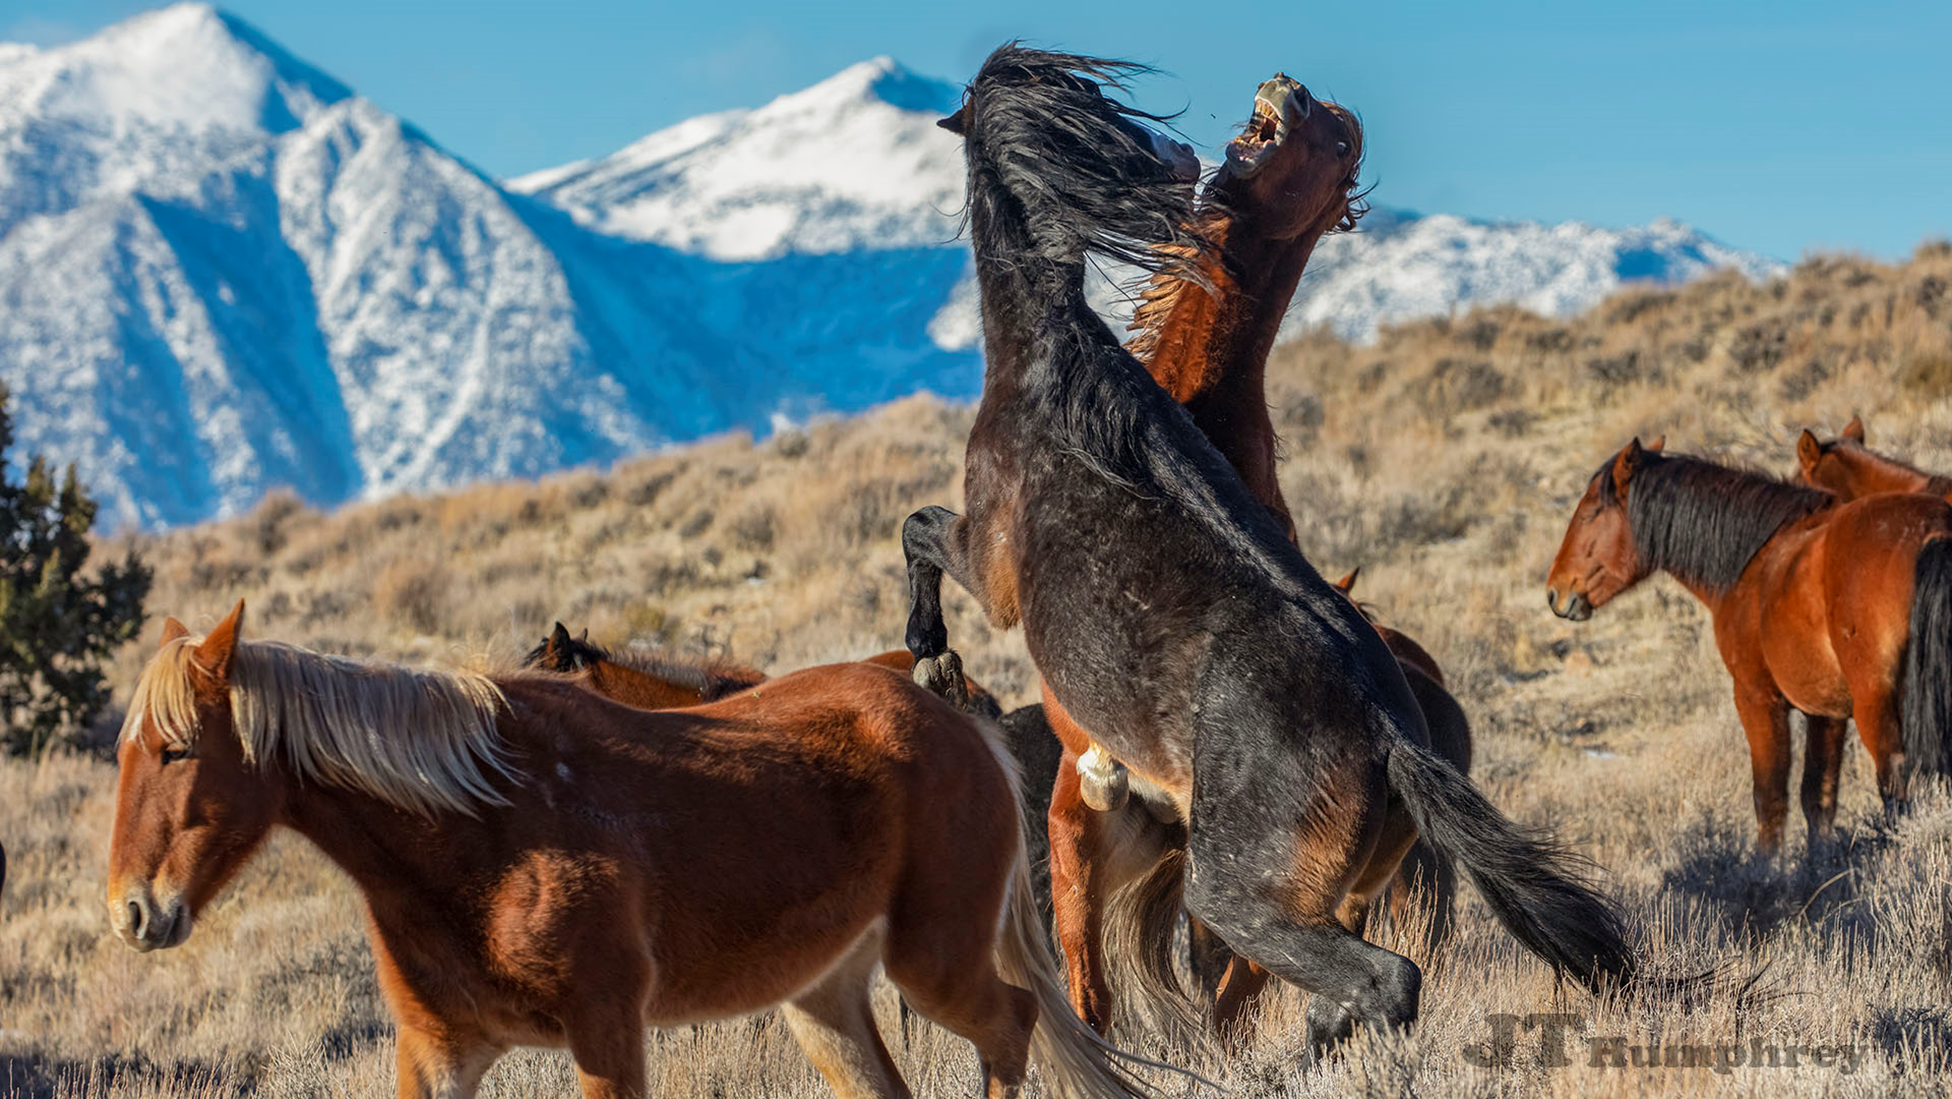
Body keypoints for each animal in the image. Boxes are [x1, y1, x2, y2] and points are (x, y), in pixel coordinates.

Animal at [108, 602, 1181, 1099]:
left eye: (176, 748)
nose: (132, 909)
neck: (473, 830)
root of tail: (963, 722)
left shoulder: (608, 1029)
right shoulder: (439, 1049)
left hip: (935, 961)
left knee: (1013, 1022)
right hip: (823, 998)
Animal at [903, 45, 1638, 1055]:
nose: (1287, 91)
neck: (1055, 353)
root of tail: (1390, 735)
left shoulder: (990, 562)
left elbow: (918, 529)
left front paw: (928, 648)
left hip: (1237, 893)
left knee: (1373, 979)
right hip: (1308, 890)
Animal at [1547, 438, 1952, 851]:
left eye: (1591, 513)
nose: (1555, 591)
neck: (1752, 561)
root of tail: (1933, 534)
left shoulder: (1756, 698)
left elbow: (1769, 799)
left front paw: (1769, 868)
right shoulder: (1826, 713)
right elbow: (1818, 799)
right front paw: (1820, 861)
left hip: (1876, 706)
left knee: (1897, 788)